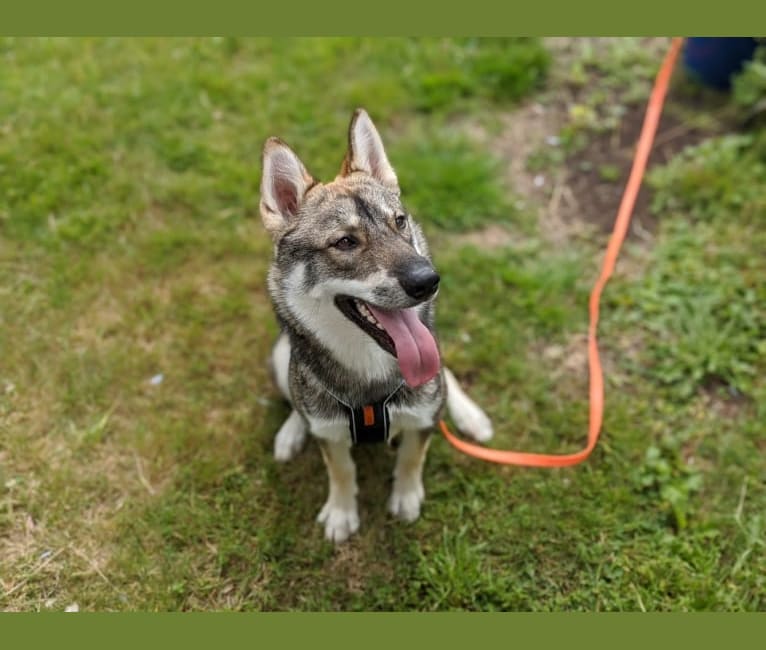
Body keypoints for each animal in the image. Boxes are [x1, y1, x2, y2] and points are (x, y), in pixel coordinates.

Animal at [260, 107, 496, 540]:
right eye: (345, 242)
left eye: (399, 222)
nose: (428, 281)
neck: (369, 376)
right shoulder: (328, 430)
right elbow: (340, 469)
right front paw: (341, 511)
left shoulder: (423, 416)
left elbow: (411, 457)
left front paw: (406, 498)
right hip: (280, 354)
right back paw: (291, 431)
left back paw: (470, 416)